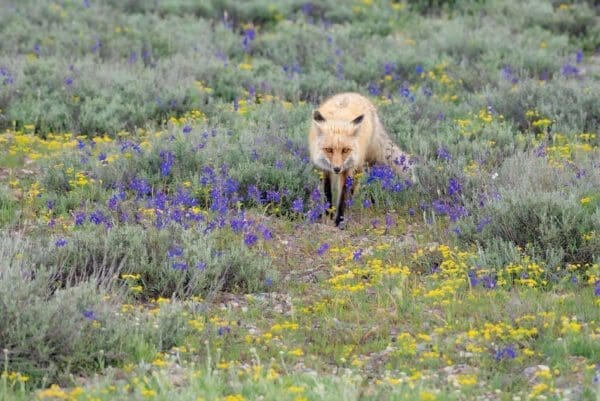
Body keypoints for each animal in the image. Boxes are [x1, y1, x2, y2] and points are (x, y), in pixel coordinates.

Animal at [310, 92, 412, 227]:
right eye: (329, 150)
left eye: (345, 150)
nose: (337, 169)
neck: (338, 120)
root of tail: (355, 94)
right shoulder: (325, 169)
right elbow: (327, 193)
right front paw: (328, 214)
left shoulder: (347, 170)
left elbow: (343, 197)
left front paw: (339, 220)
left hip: (358, 165)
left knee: (352, 190)